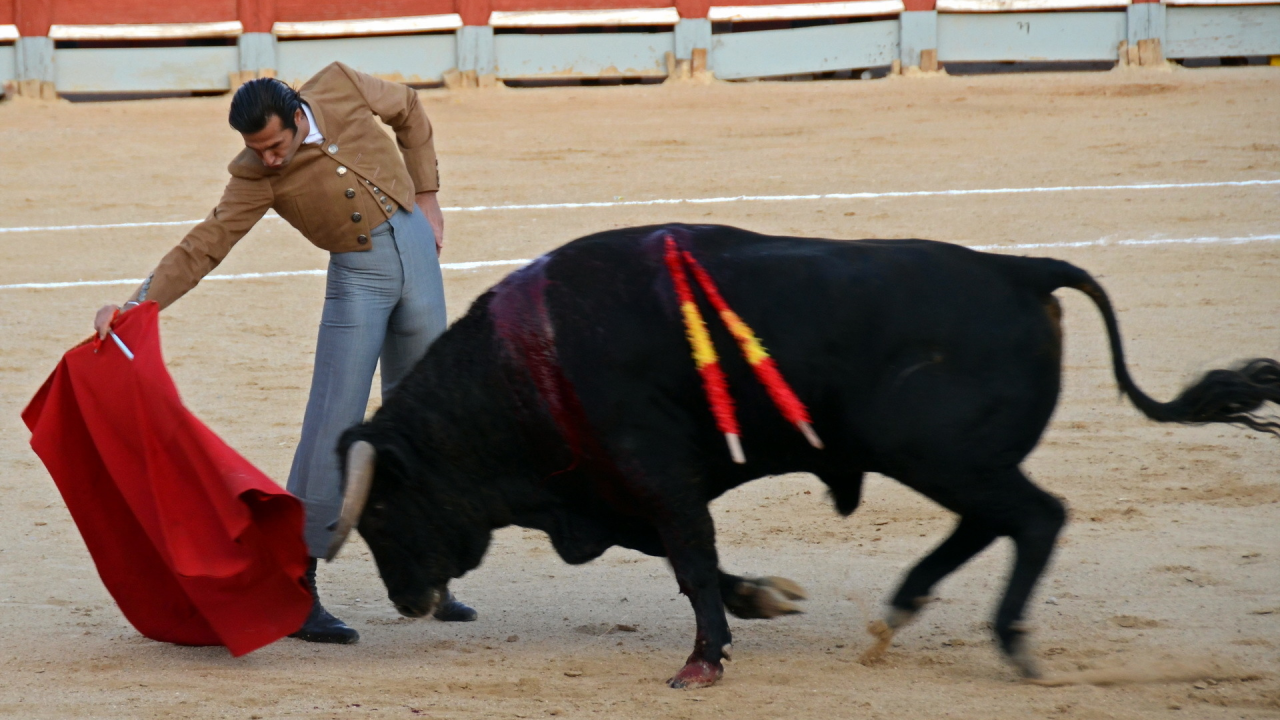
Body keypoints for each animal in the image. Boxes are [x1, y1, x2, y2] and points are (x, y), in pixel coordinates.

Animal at [327, 224, 1269, 681]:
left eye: (381, 512)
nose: (408, 602)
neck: (531, 364)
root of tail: (1021, 270)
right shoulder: (617, 490)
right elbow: (684, 557)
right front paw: (761, 602)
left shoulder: (653, 471)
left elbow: (690, 557)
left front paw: (702, 661)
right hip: (948, 462)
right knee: (993, 523)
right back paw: (900, 612)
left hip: (940, 456)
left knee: (1035, 518)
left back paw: (1013, 645)